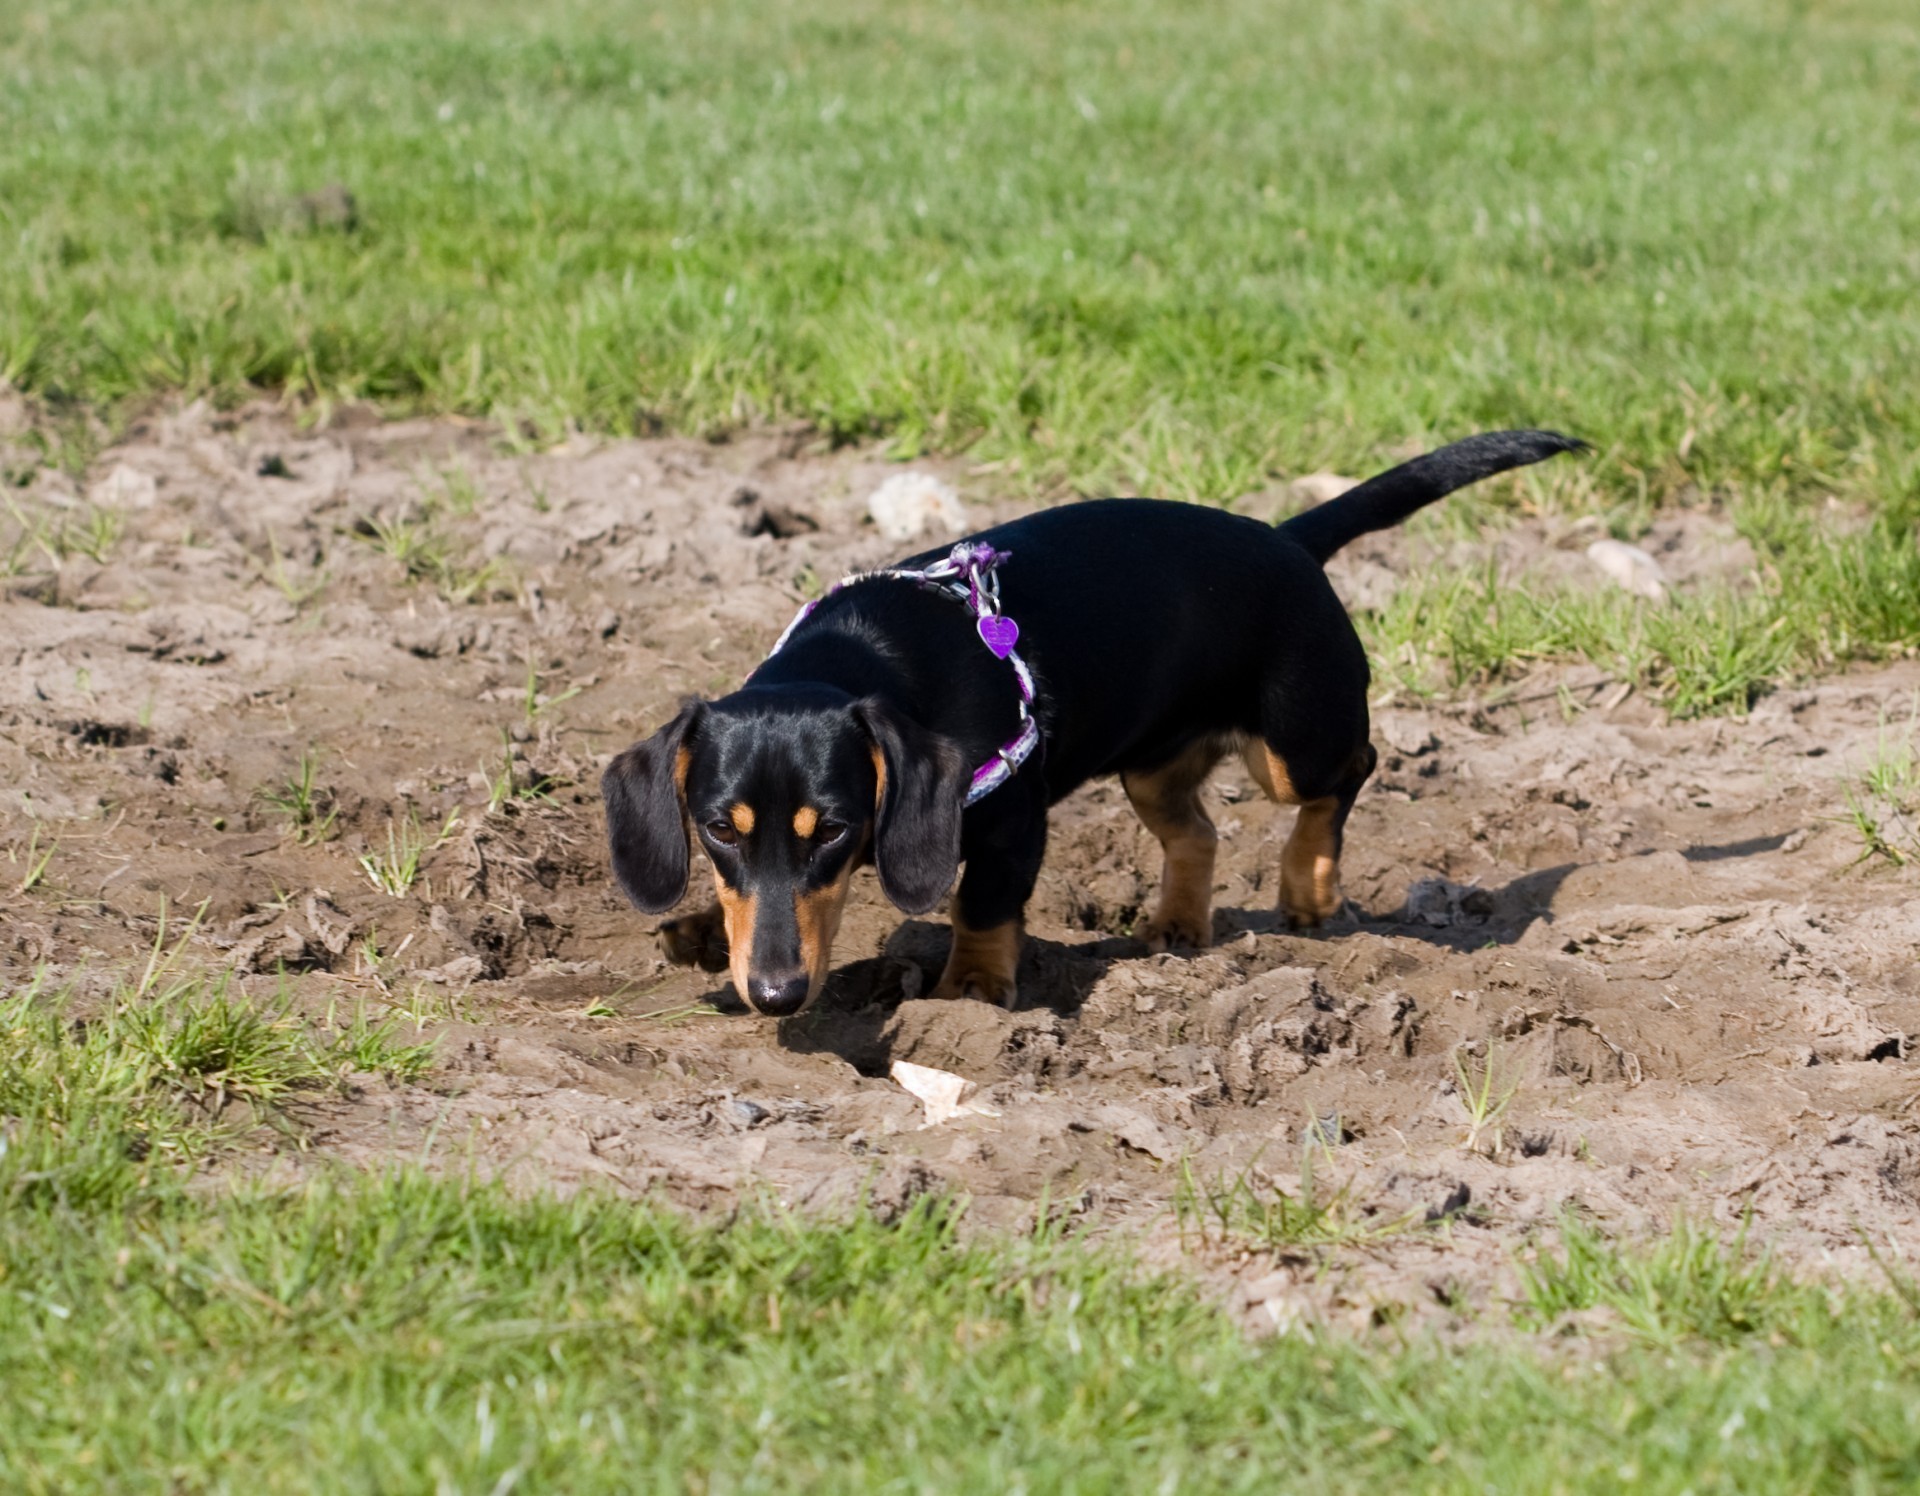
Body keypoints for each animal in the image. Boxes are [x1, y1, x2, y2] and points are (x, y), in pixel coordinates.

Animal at [606, 432, 1582, 1021]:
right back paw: (1179, 928)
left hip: (1292, 747)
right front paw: (702, 930)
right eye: (717, 830)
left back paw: (1308, 886)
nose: (775, 994)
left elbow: (982, 903)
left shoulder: (1009, 816)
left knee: (1350, 771)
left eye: (835, 830)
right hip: (1151, 765)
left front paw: (971, 990)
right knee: (1198, 831)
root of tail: (1289, 538)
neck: (867, 652)